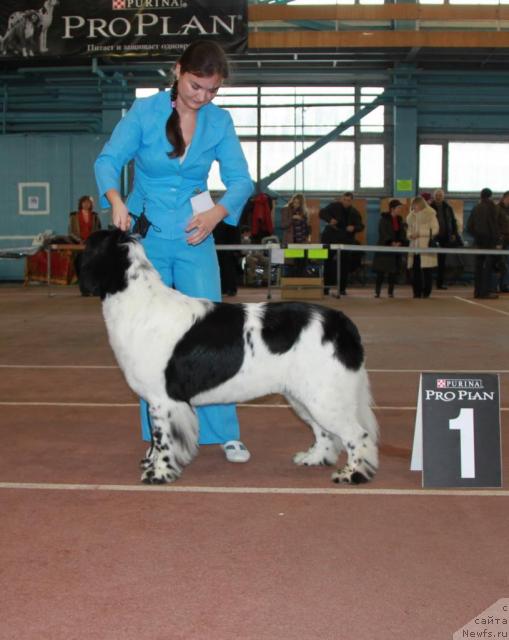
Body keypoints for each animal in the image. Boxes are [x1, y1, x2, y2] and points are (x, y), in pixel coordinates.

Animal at [81, 230, 378, 484]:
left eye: (89, 244)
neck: (138, 302)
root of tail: (340, 322)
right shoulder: (154, 399)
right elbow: (155, 440)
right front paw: (151, 463)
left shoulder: (164, 399)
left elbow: (163, 439)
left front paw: (159, 473)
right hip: (305, 396)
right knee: (324, 431)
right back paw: (314, 458)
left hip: (323, 395)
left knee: (357, 434)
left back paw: (353, 474)